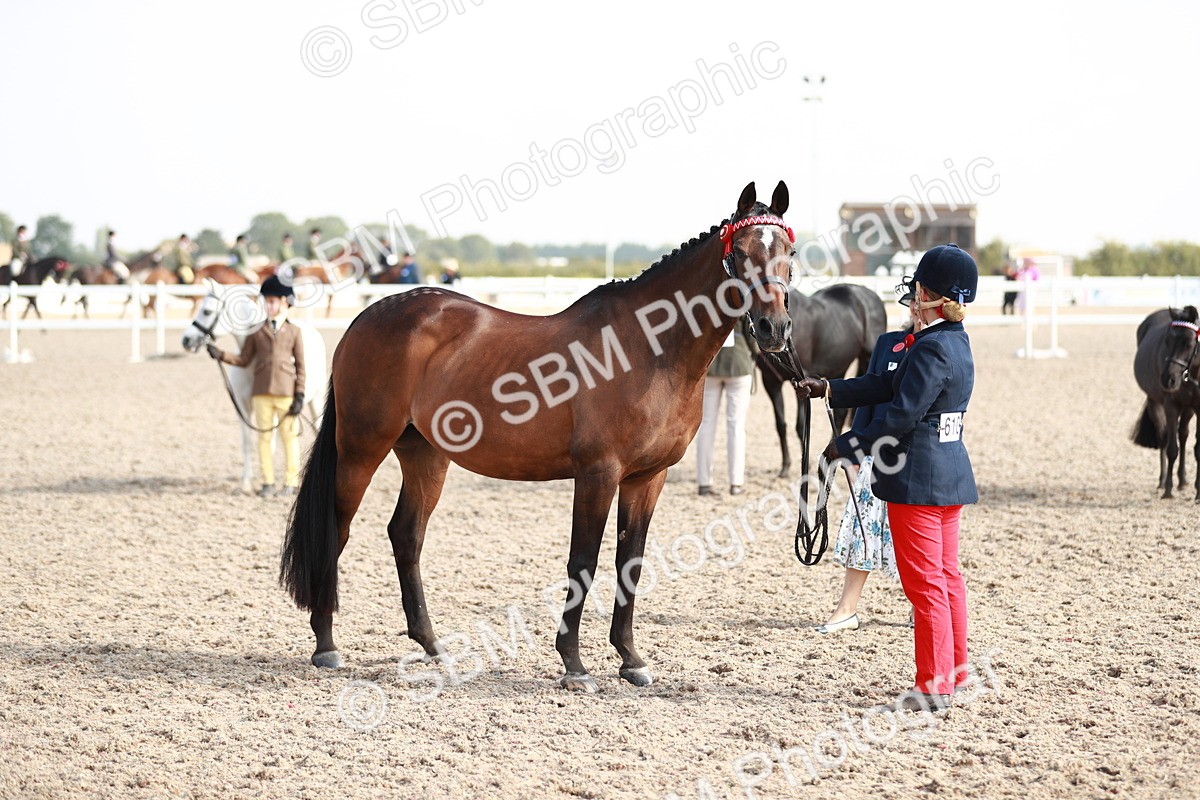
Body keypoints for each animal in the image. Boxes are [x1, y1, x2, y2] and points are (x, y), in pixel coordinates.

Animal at [278, 181, 794, 692]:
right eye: (741, 252)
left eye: (788, 251)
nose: (774, 328)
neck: (649, 349)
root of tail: (368, 316)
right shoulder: (597, 474)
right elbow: (583, 562)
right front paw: (574, 665)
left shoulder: (648, 478)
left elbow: (630, 562)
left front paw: (630, 659)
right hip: (361, 448)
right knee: (337, 530)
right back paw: (326, 645)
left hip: (425, 455)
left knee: (406, 535)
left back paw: (433, 645)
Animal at [757, 283, 886, 478]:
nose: (772, 329)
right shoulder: (771, 382)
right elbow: (781, 425)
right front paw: (785, 466)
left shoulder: (800, 378)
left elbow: (801, 425)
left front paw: (806, 464)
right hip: (838, 368)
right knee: (840, 412)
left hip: (867, 358)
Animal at [1132, 306, 1200, 499]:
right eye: (1167, 341)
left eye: (1189, 343)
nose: (1167, 379)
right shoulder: (1171, 406)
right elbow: (1171, 448)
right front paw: (1168, 490)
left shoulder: (1197, 406)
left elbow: (1197, 448)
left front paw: (1198, 492)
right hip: (1154, 401)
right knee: (1163, 436)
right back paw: (1163, 482)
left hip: (1188, 408)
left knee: (1183, 434)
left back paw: (1183, 480)